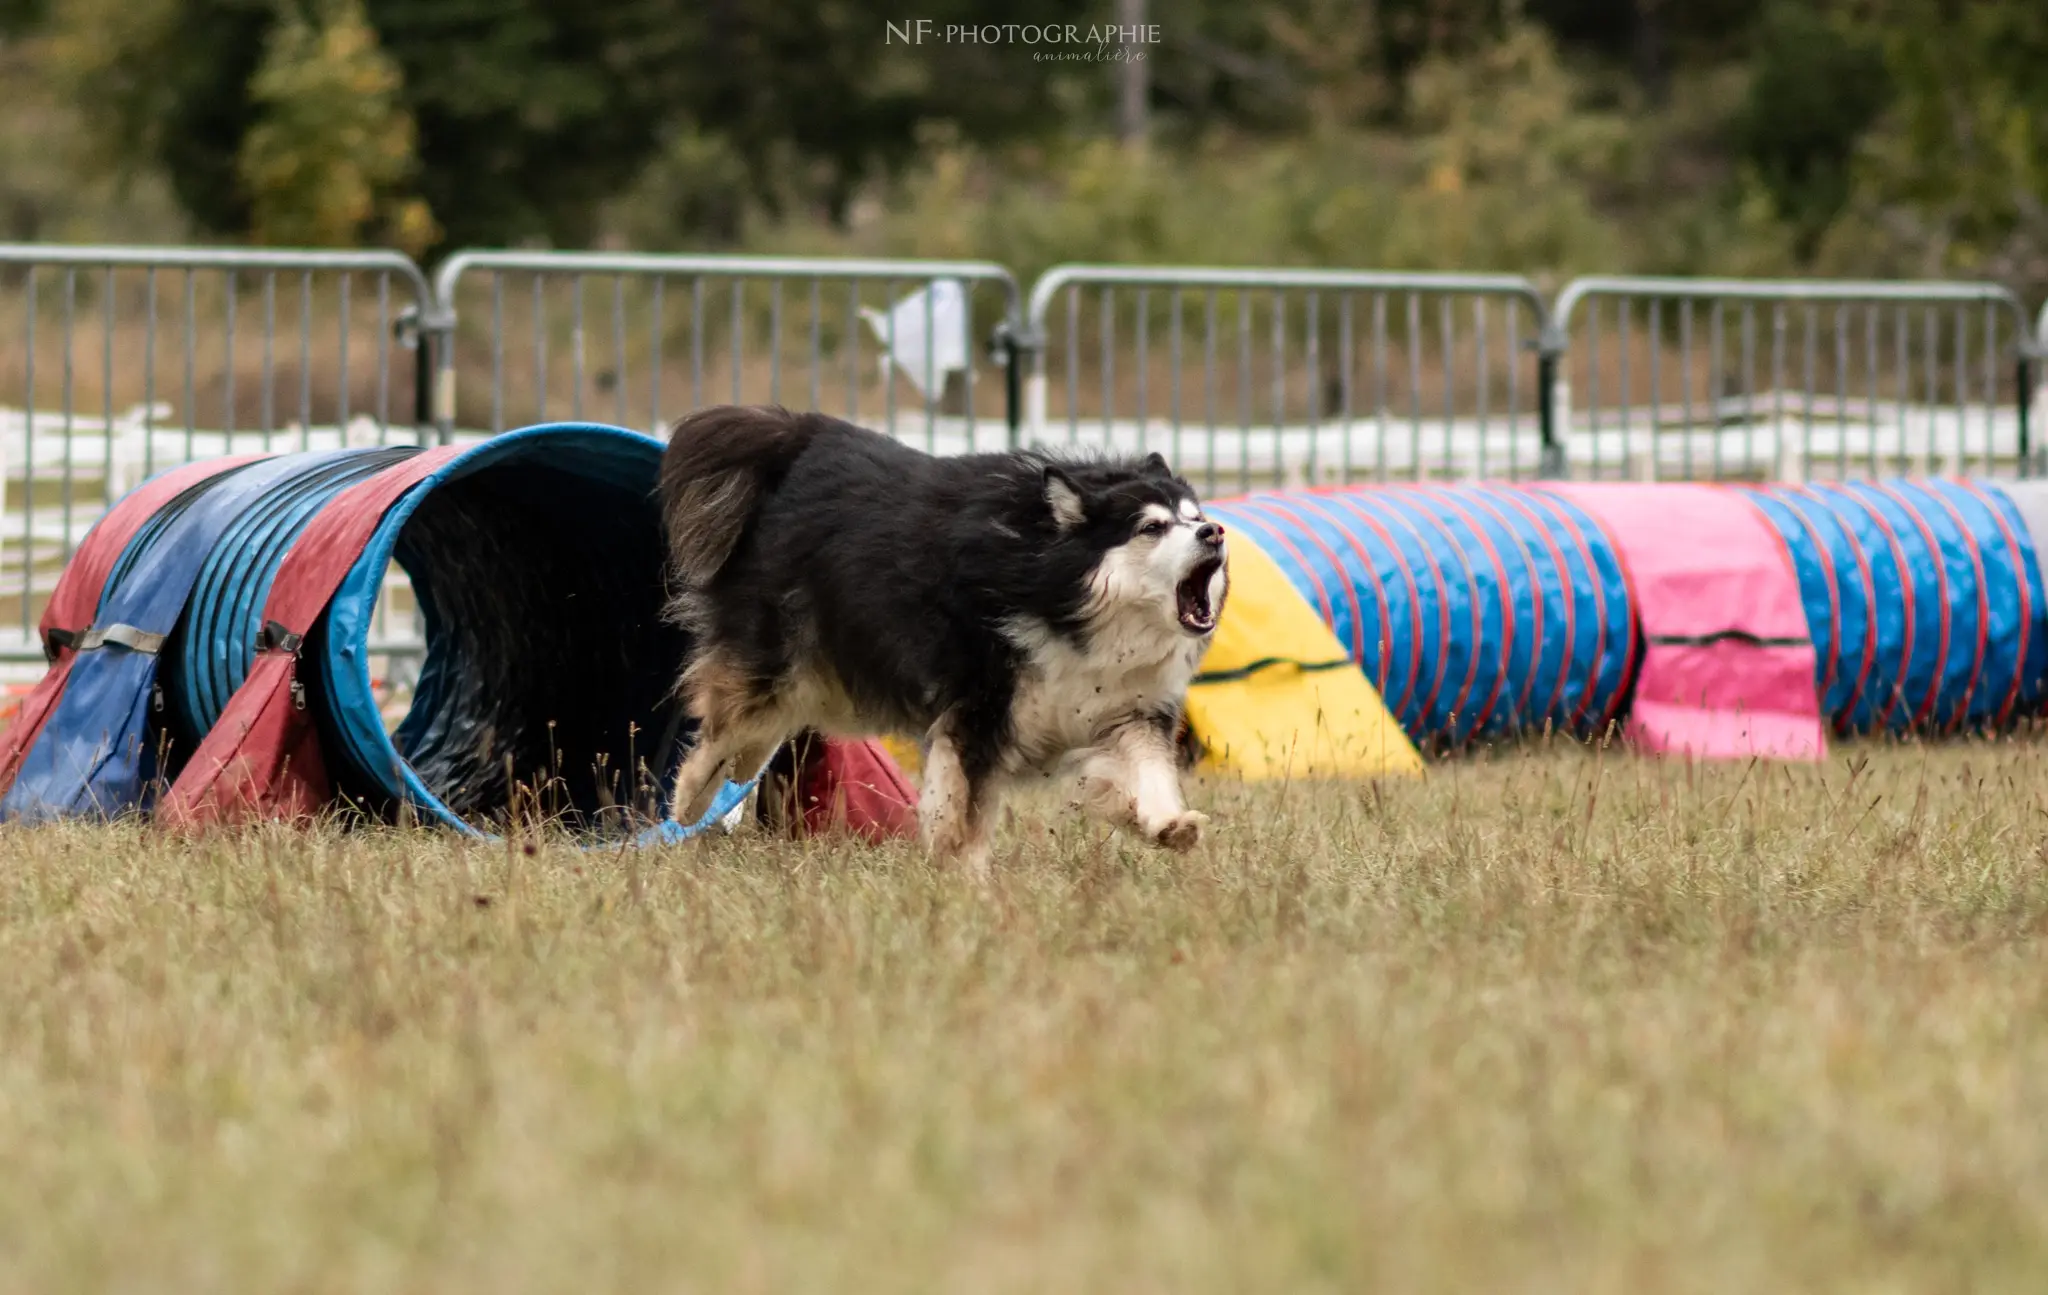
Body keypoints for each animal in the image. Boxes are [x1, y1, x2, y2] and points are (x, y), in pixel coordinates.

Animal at [659, 405, 1228, 868]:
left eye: (1194, 517)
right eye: (1151, 528)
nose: (1216, 532)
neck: (1063, 596)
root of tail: (804, 436)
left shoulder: (1126, 708)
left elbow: (1149, 772)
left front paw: (1170, 825)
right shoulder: (980, 708)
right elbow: (966, 811)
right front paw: (967, 881)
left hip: (830, 675)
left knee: (763, 731)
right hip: (780, 654)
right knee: (725, 724)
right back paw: (689, 802)